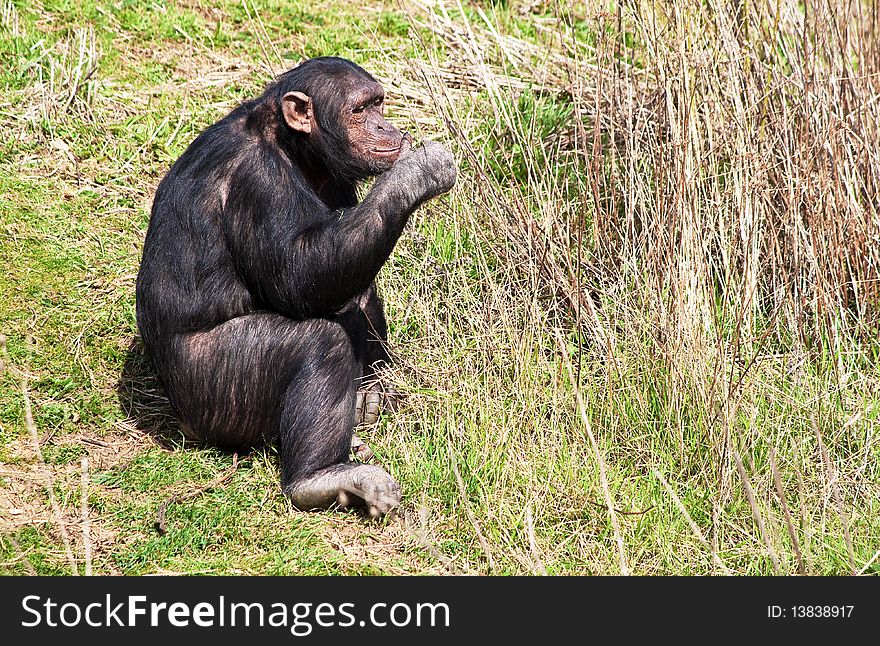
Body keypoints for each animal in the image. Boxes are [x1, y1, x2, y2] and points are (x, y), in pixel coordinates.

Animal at [138, 58, 458, 520]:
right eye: (360, 110)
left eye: (378, 103)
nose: (385, 125)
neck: (294, 148)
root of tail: (178, 420)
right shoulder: (258, 181)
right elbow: (301, 273)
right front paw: (418, 172)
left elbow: (346, 270)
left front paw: (372, 392)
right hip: (215, 393)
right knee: (319, 340)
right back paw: (318, 479)